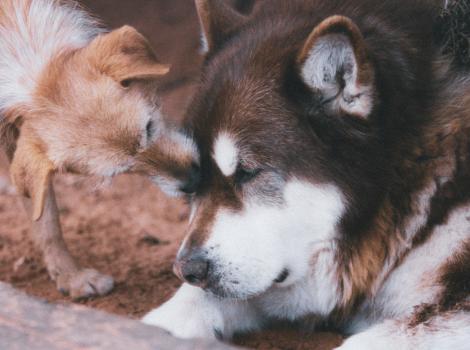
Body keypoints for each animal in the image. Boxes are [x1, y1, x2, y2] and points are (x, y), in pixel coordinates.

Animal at [0, 0, 198, 300]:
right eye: (120, 171)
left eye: (150, 126)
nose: (194, 180)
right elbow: (45, 218)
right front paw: (71, 276)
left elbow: (46, 219)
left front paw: (70, 276)